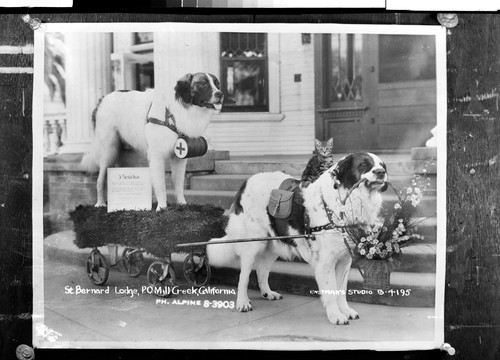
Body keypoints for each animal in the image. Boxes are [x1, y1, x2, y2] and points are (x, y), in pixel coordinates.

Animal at [81, 71, 223, 210]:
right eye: (203, 84)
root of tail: (102, 99)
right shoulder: (157, 157)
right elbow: (161, 185)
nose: (220, 94)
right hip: (108, 150)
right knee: (100, 180)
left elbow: (178, 184)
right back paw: (100, 203)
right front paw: (162, 207)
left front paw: (181, 204)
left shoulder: (179, 158)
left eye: (217, 84)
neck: (173, 114)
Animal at [205, 152, 388, 326]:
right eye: (363, 164)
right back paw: (242, 302)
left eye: (381, 165)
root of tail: (246, 182)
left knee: (261, 270)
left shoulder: (344, 260)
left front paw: (346, 311)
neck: (347, 201)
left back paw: (267, 293)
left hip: (274, 244)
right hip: (252, 243)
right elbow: (330, 291)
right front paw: (336, 316)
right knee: (244, 275)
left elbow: (341, 290)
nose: (381, 172)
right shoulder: (326, 262)